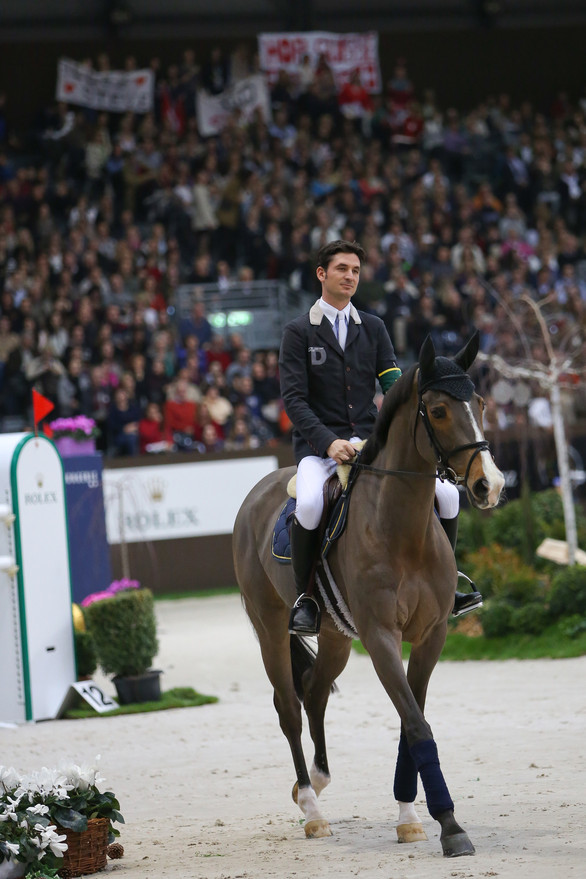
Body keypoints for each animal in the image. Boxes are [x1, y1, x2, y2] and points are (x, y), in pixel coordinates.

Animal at [232, 334, 502, 856]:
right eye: (439, 410)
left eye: (479, 403)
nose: (490, 484)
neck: (403, 529)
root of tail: (258, 491)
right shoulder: (380, 636)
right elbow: (416, 723)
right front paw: (450, 825)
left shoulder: (432, 634)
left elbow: (410, 721)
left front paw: (409, 817)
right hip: (270, 625)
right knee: (289, 706)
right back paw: (311, 810)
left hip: (336, 634)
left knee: (314, 689)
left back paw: (316, 783)